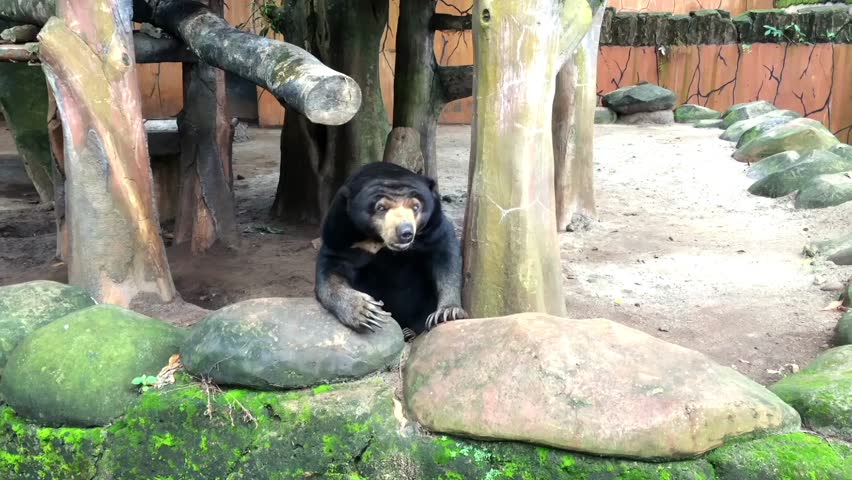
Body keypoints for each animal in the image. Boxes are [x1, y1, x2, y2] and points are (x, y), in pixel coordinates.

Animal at [314, 162, 467, 340]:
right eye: (381, 207)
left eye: (416, 206)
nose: (405, 232)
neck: (380, 241)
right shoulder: (339, 235)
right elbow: (330, 273)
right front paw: (366, 311)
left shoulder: (433, 227)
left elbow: (446, 255)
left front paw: (447, 312)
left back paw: (410, 331)